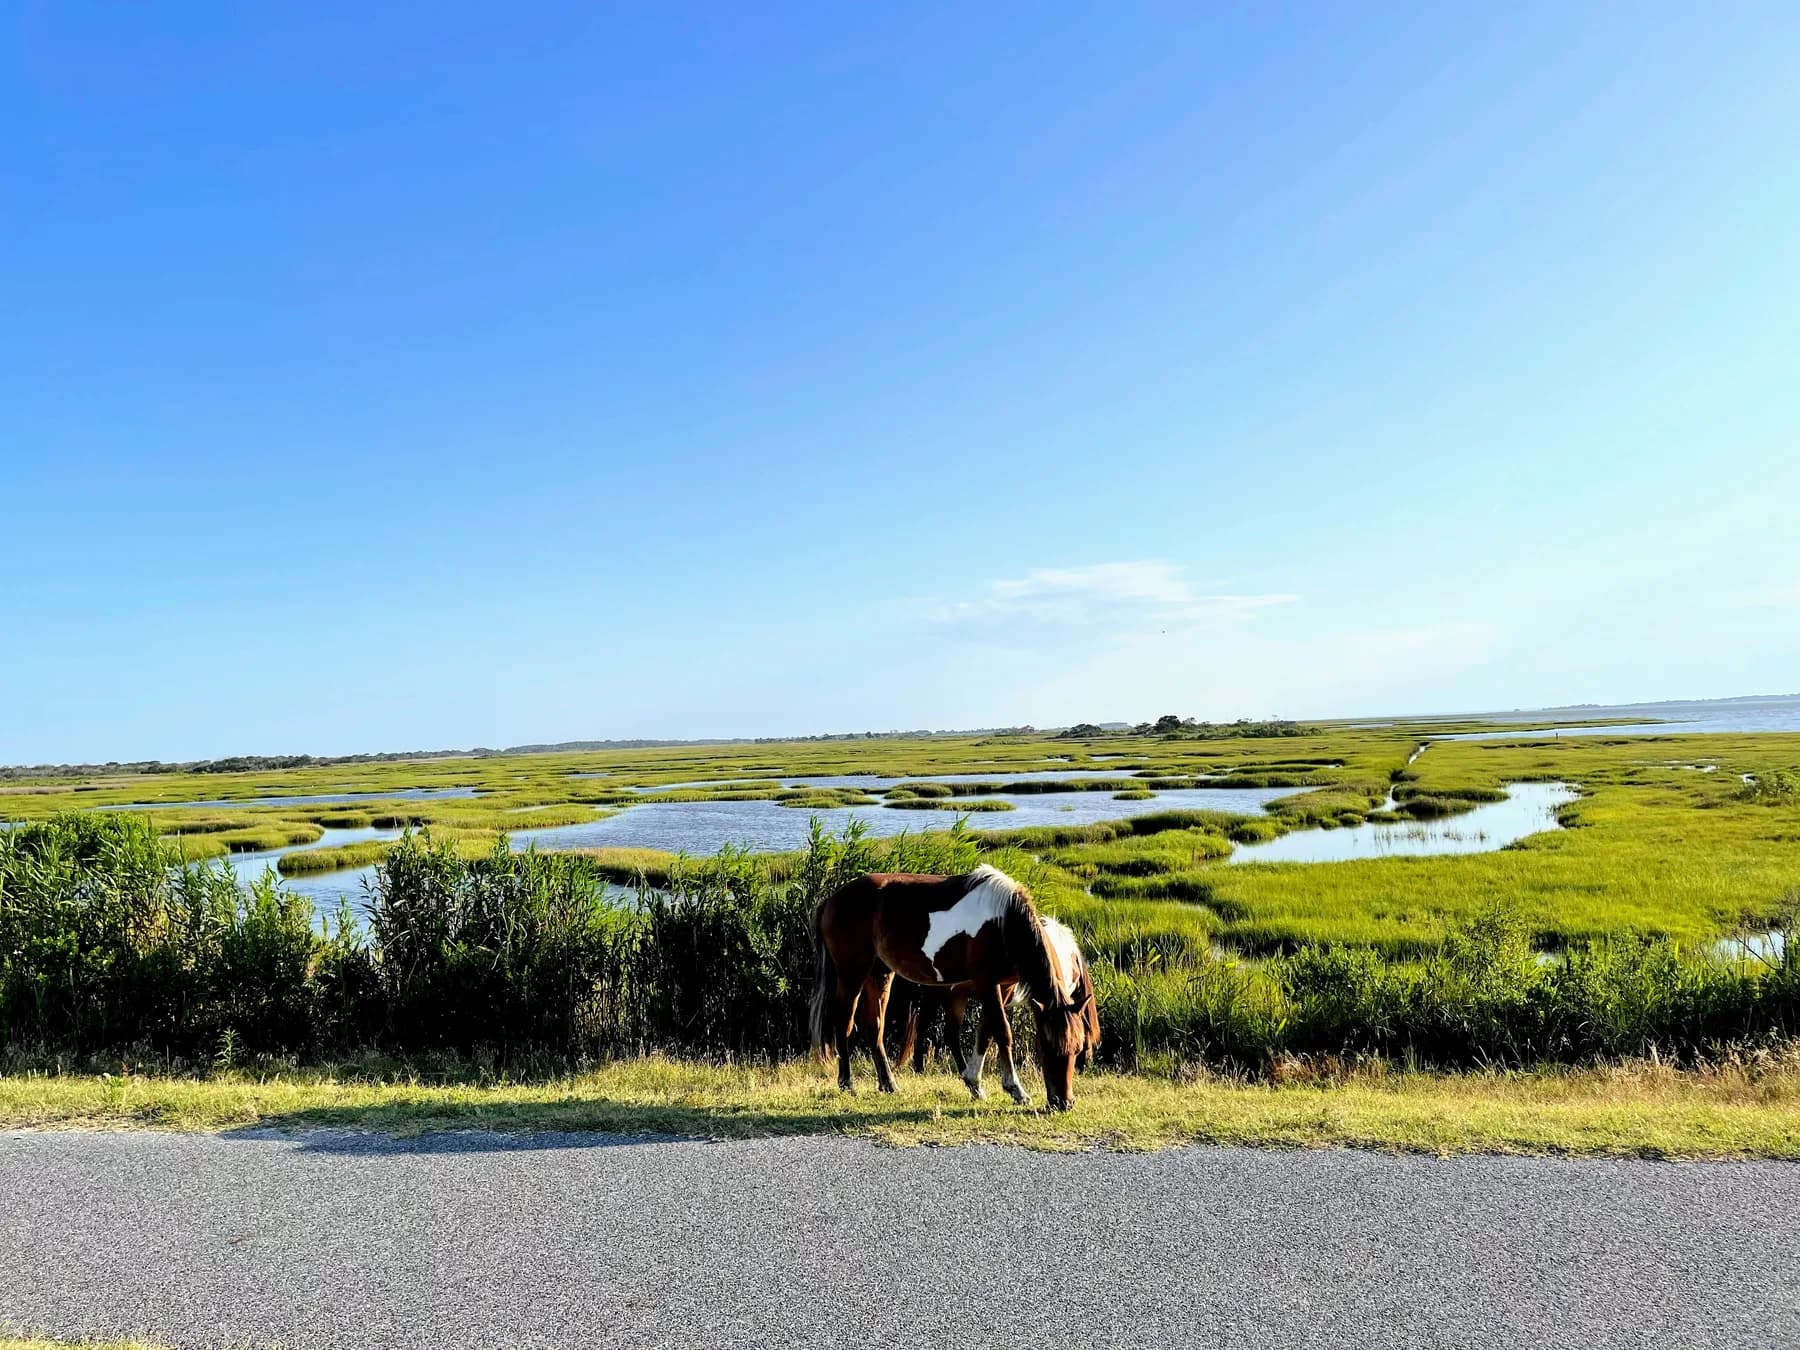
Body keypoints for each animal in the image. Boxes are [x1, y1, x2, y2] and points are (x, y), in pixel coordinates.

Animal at [809, 863, 1093, 1109]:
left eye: (1077, 1048)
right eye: (1047, 1048)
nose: (1064, 1102)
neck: (1003, 922)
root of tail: (832, 900)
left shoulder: (1001, 988)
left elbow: (986, 1032)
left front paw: (974, 1083)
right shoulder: (986, 982)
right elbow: (1002, 1032)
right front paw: (1016, 1090)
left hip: (880, 973)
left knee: (874, 1026)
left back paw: (889, 1084)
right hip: (852, 973)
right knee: (844, 1023)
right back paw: (847, 1083)